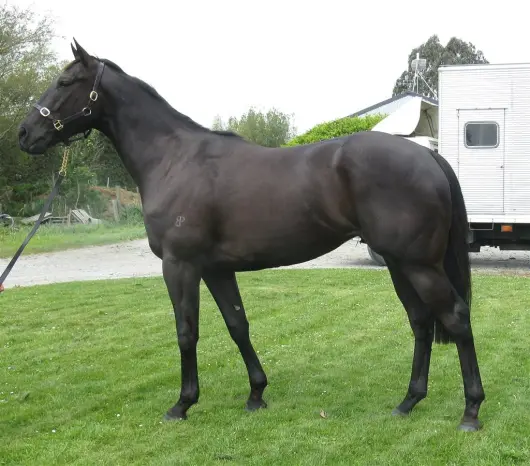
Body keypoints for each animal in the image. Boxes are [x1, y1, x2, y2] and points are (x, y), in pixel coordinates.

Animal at [17, 39, 485, 432]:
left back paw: (471, 411)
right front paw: (256, 393)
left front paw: (182, 404)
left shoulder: (180, 265)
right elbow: (237, 325)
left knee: (455, 318)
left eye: (65, 82)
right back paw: (408, 402)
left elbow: (186, 331)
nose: (24, 134)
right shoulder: (216, 269)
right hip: (397, 263)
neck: (173, 158)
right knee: (421, 321)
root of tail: (427, 155)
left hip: (418, 265)